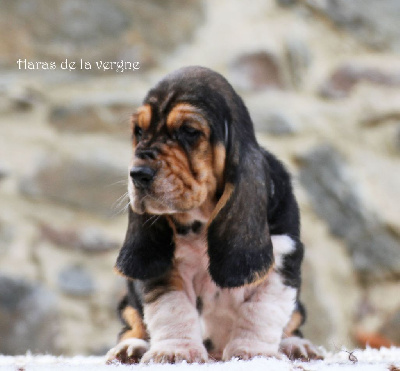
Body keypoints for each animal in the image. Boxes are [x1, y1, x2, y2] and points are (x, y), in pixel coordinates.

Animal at [105, 65, 322, 364]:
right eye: (138, 130)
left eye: (188, 131)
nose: (137, 174)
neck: (201, 220)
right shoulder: (165, 269)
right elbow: (173, 310)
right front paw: (176, 351)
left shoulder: (281, 259)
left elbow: (261, 312)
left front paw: (252, 352)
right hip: (128, 301)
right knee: (132, 324)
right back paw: (131, 347)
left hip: (299, 305)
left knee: (292, 323)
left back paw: (296, 346)